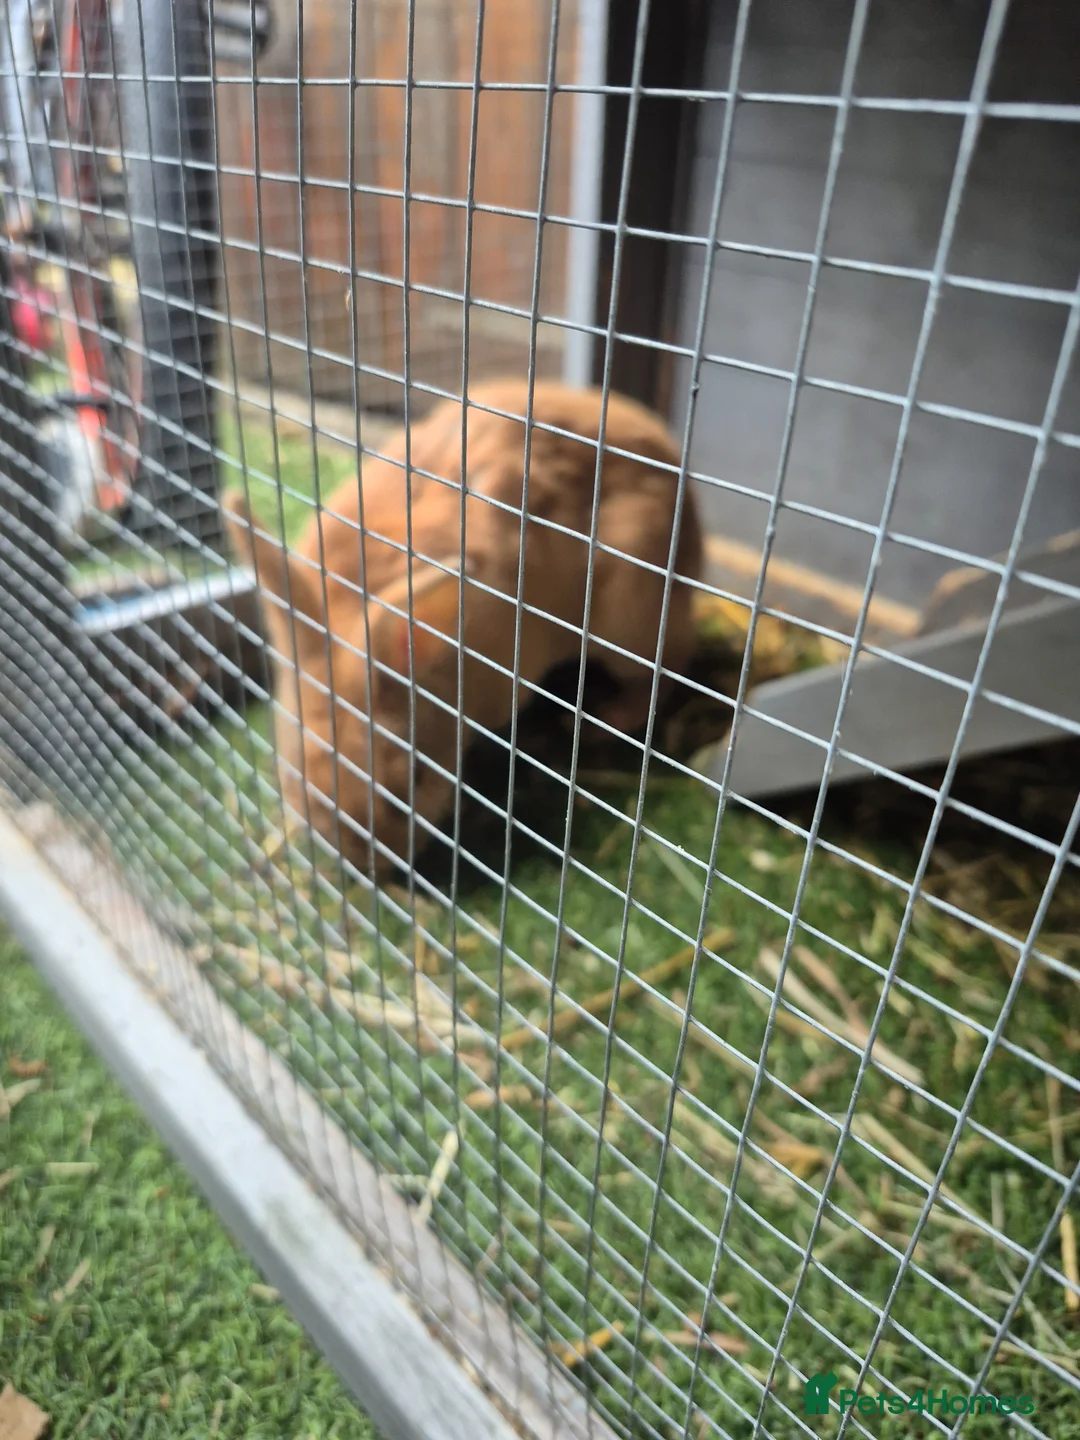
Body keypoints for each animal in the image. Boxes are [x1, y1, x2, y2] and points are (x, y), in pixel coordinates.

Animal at [223, 379, 703, 877]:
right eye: (292, 770)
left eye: (412, 781)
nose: (370, 867)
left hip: (631, 623)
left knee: (666, 671)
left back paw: (602, 724)